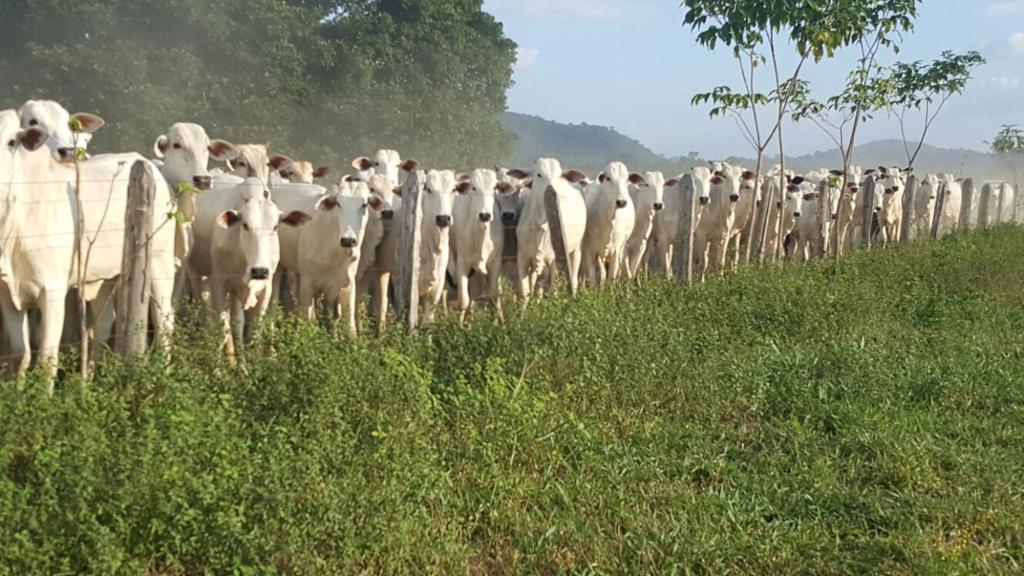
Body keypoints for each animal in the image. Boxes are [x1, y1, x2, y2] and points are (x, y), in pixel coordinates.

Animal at [190, 175, 311, 354]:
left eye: (275, 226)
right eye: (245, 225)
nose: (259, 271)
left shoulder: (265, 289)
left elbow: (254, 333)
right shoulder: (219, 284)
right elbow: (223, 330)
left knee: (236, 323)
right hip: (195, 273)